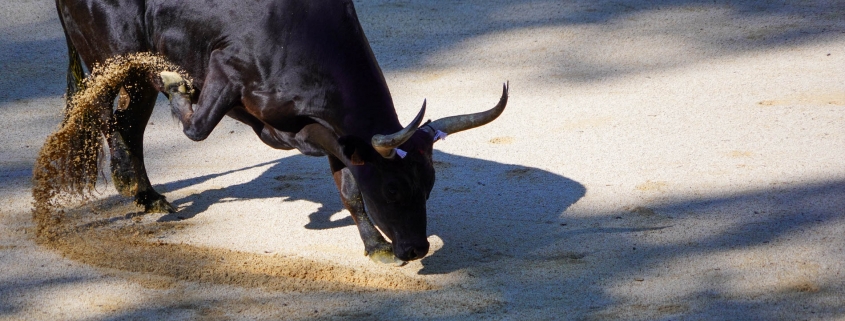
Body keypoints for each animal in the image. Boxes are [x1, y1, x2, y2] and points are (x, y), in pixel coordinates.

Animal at [57, 0, 508, 264]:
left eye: (429, 185)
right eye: (394, 188)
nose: (416, 249)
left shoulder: (331, 135)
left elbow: (350, 191)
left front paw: (375, 247)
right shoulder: (224, 71)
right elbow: (197, 129)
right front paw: (177, 85)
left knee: (125, 124)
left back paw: (143, 194)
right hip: (116, 58)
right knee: (110, 118)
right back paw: (140, 189)